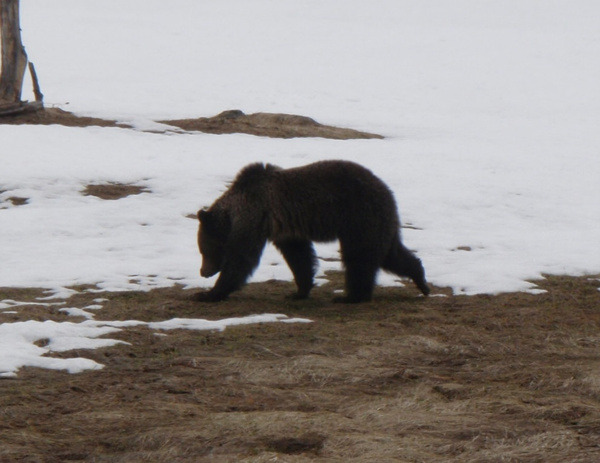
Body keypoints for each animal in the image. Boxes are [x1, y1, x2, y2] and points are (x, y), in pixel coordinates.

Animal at [195, 160, 428, 304]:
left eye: (204, 250)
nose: (203, 272)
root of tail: (388, 192)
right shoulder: (285, 230)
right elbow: (299, 257)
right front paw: (299, 291)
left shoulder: (254, 218)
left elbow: (241, 258)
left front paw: (209, 293)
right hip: (379, 224)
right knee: (391, 255)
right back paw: (422, 282)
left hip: (359, 218)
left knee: (359, 258)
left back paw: (350, 296)